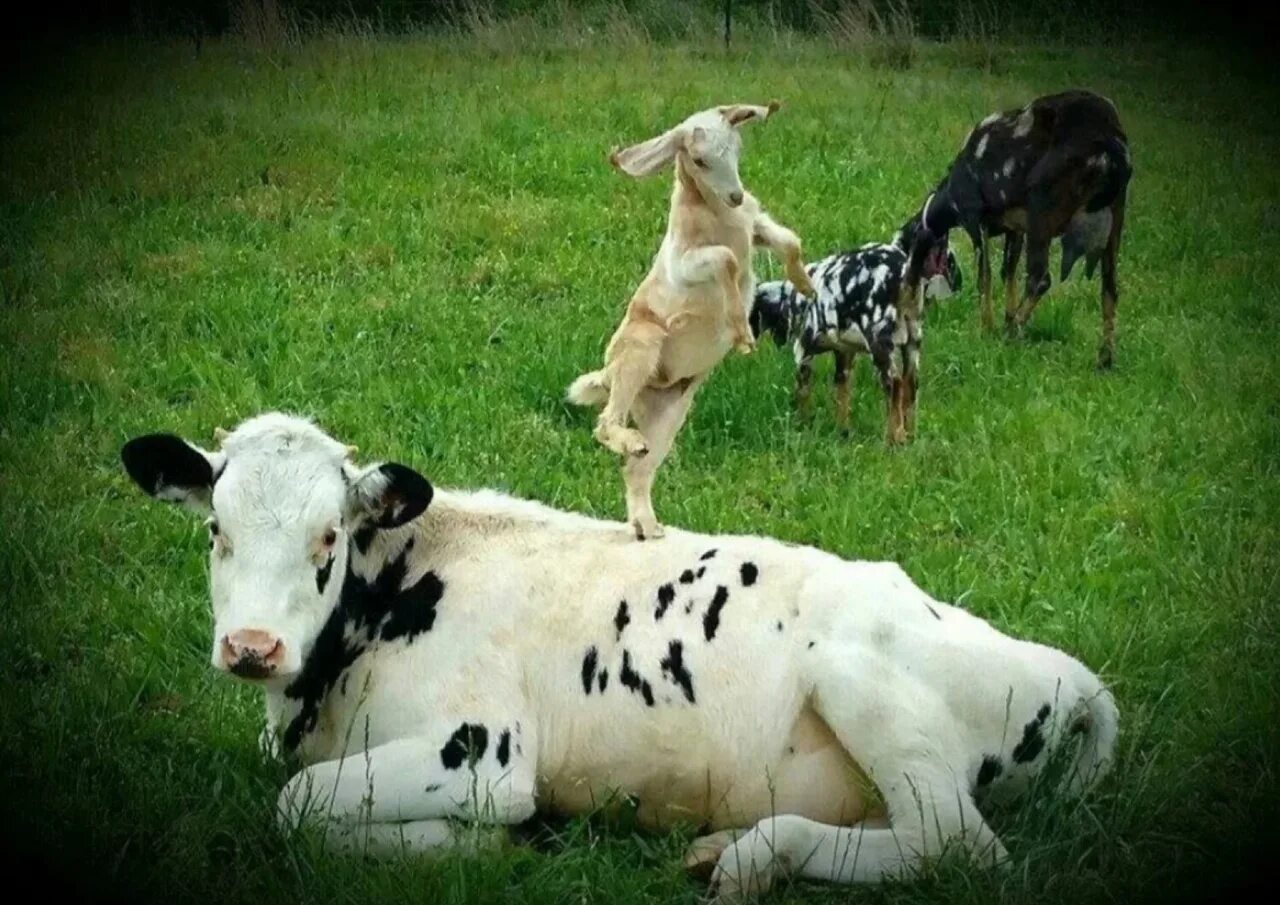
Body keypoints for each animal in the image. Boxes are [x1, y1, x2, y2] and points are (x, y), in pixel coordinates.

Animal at [122, 414, 1121, 901]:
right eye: (215, 529)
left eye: (328, 535)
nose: (252, 646)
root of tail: (1067, 670)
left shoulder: (484, 751)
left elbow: (295, 807)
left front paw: (473, 847)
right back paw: (725, 846)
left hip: (863, 677)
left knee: (959, 848)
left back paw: (757, 858)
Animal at [573, 101, 819, 537]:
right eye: (700, 160)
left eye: (736, 148)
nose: (735, 196)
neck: (718, 214)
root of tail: (608, 376)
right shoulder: (687, 263)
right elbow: (727, 259)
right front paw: (741, 333)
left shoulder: (756, 226)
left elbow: (789, 239)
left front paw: (807, 287)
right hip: (639, 349)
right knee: (605, 424)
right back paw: (630, 443)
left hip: (670, 411)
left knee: (636, 470)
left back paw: (648, 526)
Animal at [747, 222, 962, 442]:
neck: (792, 297)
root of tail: (904, 274)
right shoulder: (844, 353)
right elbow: (842, 393)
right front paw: (842, 430)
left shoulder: (803, 350)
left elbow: (802, 391)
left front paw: (802, 424)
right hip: (912, 341)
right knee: (910, 383)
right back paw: (909, 435)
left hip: (880, 342)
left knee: (894, 384)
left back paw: (894, 438)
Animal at [911, 90, 1131, 371]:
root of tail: (1110, 144)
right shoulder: (1015, 230)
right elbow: (1008, 273)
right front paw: (1004, 317)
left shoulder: (976, 221)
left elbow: (985, 276)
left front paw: (987, 328)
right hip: (1115, 221)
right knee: (1110, 289)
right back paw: (1105, 359)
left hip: (1042, 213)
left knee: (1040, 279)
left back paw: (1012, 332)